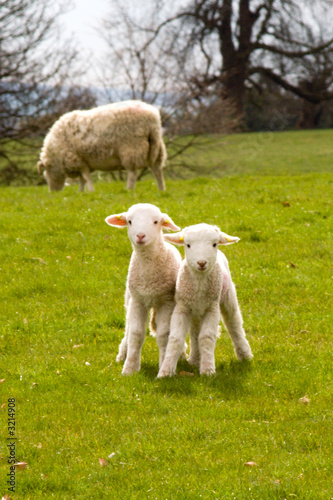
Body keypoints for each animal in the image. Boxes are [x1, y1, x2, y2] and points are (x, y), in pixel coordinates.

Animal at [37, 99, 166, 191]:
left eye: (46, 176)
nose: (53, 193)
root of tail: (153, 118)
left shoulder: (78, 159)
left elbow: (85, 177)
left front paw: (90, 191)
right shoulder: (83, 161)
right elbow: (82, 178)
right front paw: (81, 192)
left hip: (131, 148)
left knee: (132, 173)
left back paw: (129, 189)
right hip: (156, 146)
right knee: (157, 170)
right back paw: (161, 189)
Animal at [104, 203, 180, 376]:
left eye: (156, 222)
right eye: (130, 221)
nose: (140, 236)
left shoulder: (166, 301)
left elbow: (164, 334)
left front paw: (163, 365)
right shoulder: (137, 300)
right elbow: (135, 333)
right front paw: (129, 368)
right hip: (129, 299)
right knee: (127, 328)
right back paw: (122, 354)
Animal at [157, 222, 253, 376]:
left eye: (214, 244)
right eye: (188, 245)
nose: (201, 263)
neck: (199, 284)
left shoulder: (212, 308)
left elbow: (206, 337)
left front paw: (208, 370)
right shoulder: (182, 307)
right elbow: (176, 338)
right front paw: (165, 372)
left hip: (228, 296)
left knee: (234, 324)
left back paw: (245, 355)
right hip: (195, 311)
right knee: (195, 332)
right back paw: (195, 359)